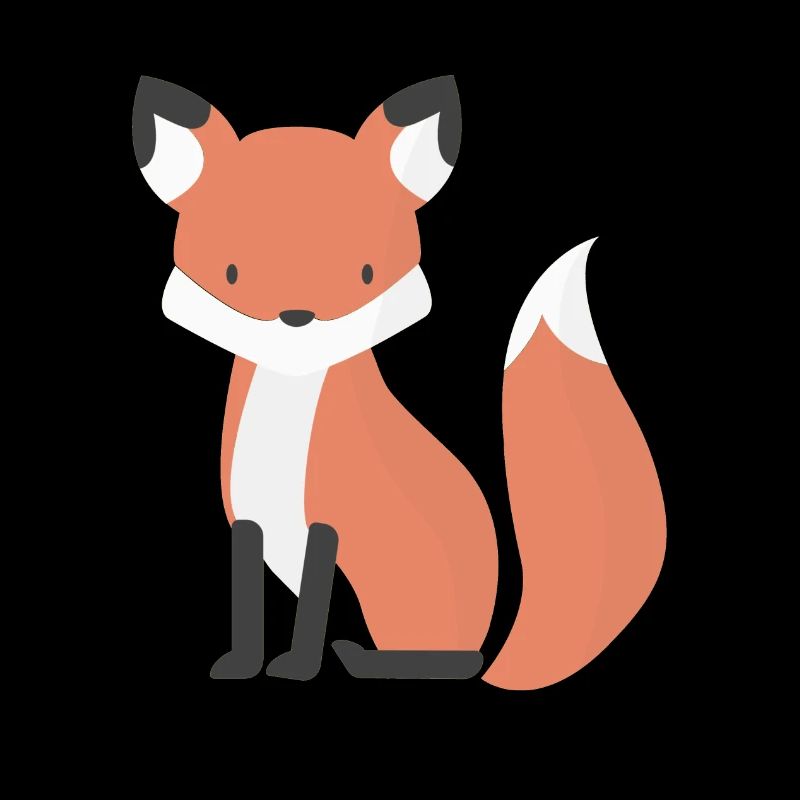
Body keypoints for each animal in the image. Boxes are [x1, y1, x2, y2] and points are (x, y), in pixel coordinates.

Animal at [132, 74, 666, 689]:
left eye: (366, 272)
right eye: (232, 273)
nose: (297, 317)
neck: (289, 400)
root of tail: (489, 645)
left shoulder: (331, 525)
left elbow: (311, 609)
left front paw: (298, 668)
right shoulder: (247, 525)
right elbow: (247, 606)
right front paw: (243, 666)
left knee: (438, 661)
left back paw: (376, 662)